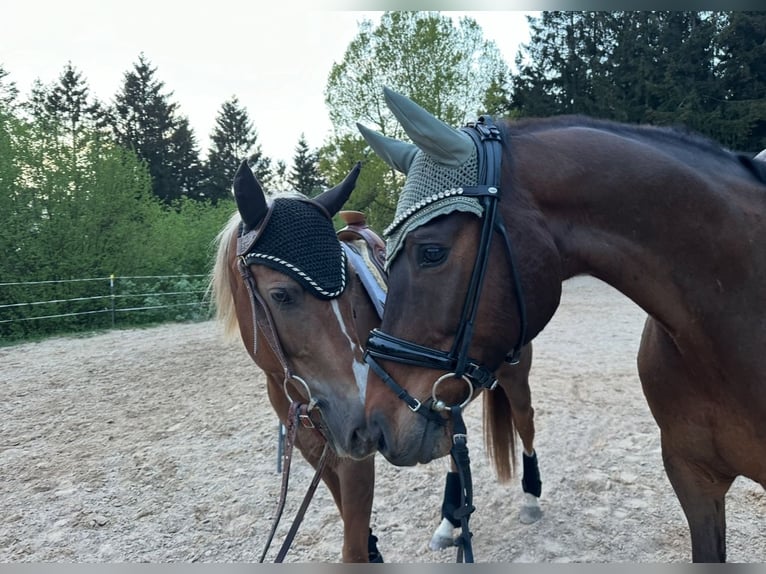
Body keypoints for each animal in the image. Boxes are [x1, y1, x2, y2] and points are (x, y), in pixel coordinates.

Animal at [210, 161, 544, 564]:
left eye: (350, 293)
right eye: (281, 295)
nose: (359, 417)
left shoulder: (356, 460)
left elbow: (352, 547)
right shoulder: (317, 452)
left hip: (514, 380)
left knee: (525, 426)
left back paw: (530, 499)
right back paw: (450, 522)